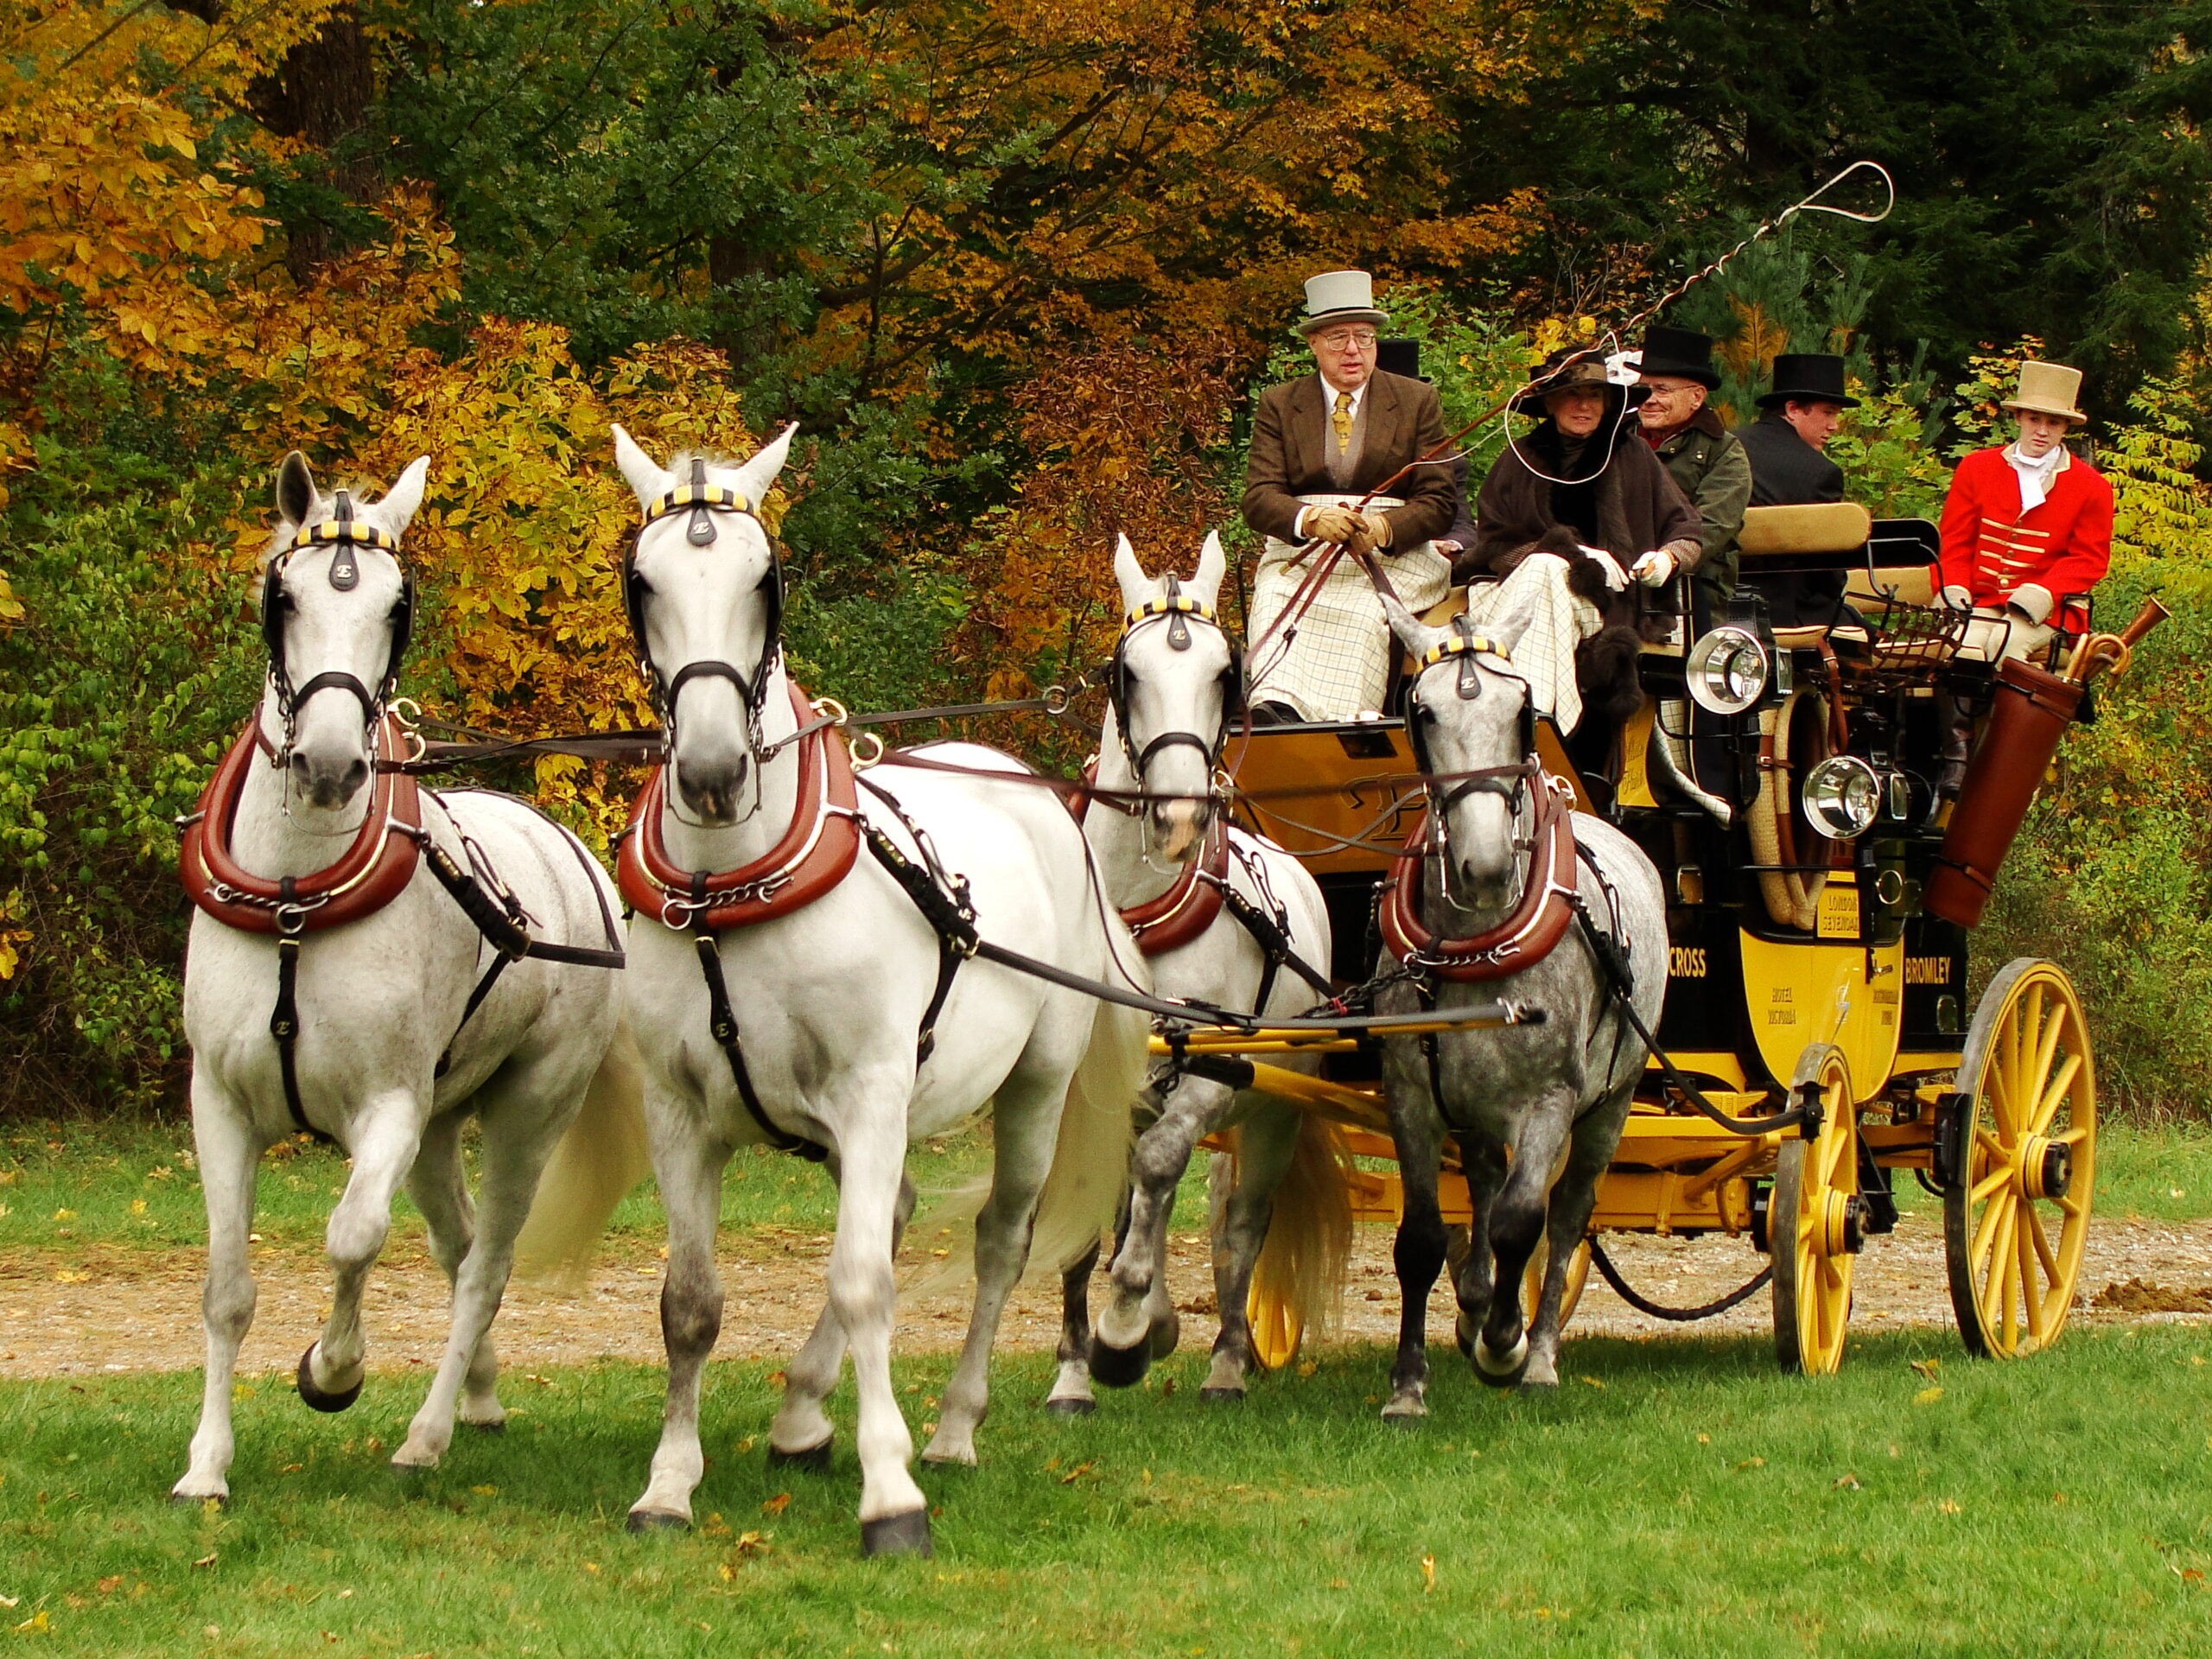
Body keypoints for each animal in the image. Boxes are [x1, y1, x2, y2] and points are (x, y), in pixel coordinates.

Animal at [172, 455, 632, 1503]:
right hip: (439, 1127)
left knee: (485, 1266)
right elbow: (226, 1291)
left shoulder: (388, 1106)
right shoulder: (219, 1103)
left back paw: (428, 1433)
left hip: (522, 1111)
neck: (296, 899)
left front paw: (332, 1370)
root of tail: (574, 857)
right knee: (456, 1248)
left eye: (397, 605)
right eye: (284, 598)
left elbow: (352, 1236)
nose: (333, 763)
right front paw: (206, 1465)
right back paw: (481, 1397)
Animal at [539, 424, 1141, 1557]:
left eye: (763, 578)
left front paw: (891, 1493)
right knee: (893, 1210)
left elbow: (865, 1284)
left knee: (999, 1242)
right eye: (642, 581)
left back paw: (949, 1430)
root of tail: (1019, 778)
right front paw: (668, 1485)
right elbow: (689, 1304)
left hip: (1030, 1087)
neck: (730, 887)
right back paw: (802, 1415)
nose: (715, 771)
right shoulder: (683, 1113)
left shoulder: (869, 1093)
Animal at [1048, 539, 1344, 1407]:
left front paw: (1122, 1329)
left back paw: (1225, 1362)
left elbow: (1157, 1174)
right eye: (1128, 672)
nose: (1180, 818)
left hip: (1273, 1110)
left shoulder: (1211, 1075)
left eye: (1223, 672)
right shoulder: (1081, 1088)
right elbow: (1085, 1221)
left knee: (1236, 1228)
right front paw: (1075, 1372)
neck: (1136, 915)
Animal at [1362, 597, 1663, 1415]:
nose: (1487, 864)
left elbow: (1524, 1223)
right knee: (1484, 1188)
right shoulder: (1411, 1096)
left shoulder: (1551, 1100)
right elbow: (1422, 1239)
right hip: (1473, 1108)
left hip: (1612, 1104)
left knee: (1564, 1218)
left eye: (1523, 709)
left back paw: (1539, 1351)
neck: (1477, 942)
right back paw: (1474, 1307)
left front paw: (1508, 1343)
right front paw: (1408, 1384)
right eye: (1422, 710)